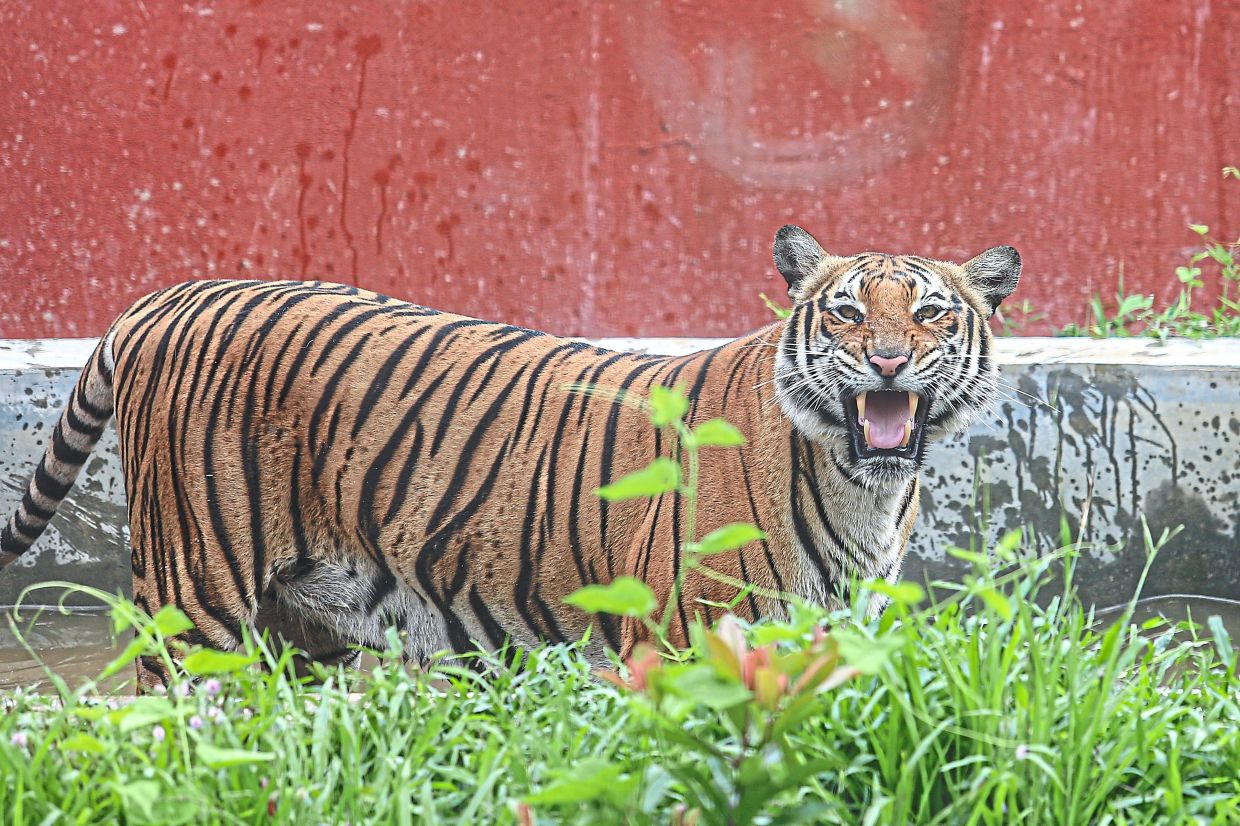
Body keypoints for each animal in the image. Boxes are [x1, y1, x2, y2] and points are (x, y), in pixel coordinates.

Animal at [1, 225, 1019, 688]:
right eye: (846, 312)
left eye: (931, 313)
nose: (886, 360)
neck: (864, 489)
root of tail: (171, 294)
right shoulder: (675, 640)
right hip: (194, 600)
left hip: (298, 629)